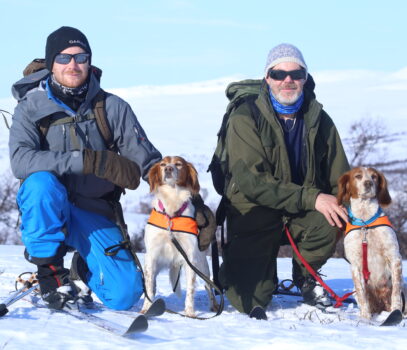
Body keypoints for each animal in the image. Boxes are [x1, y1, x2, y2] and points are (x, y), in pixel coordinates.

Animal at [143, 156, 220, 318]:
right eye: (163, 164)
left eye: (178, 164)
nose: (168, 169)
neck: (172, 212)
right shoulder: (152, 255)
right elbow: (149, 286)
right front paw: (146, 309)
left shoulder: (190, 257)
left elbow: (191, 289)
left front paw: (190, 312)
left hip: (202, 265)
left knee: (208, 286)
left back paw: (215, 306)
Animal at [338, 167, 404, 320]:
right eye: (358, 176)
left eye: (374, 176)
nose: (368, 183)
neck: (365, 222)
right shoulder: (355, 265)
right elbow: (362, 296)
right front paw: (365, 319)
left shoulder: (395, 258)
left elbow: (396, 292)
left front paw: (396, 312)